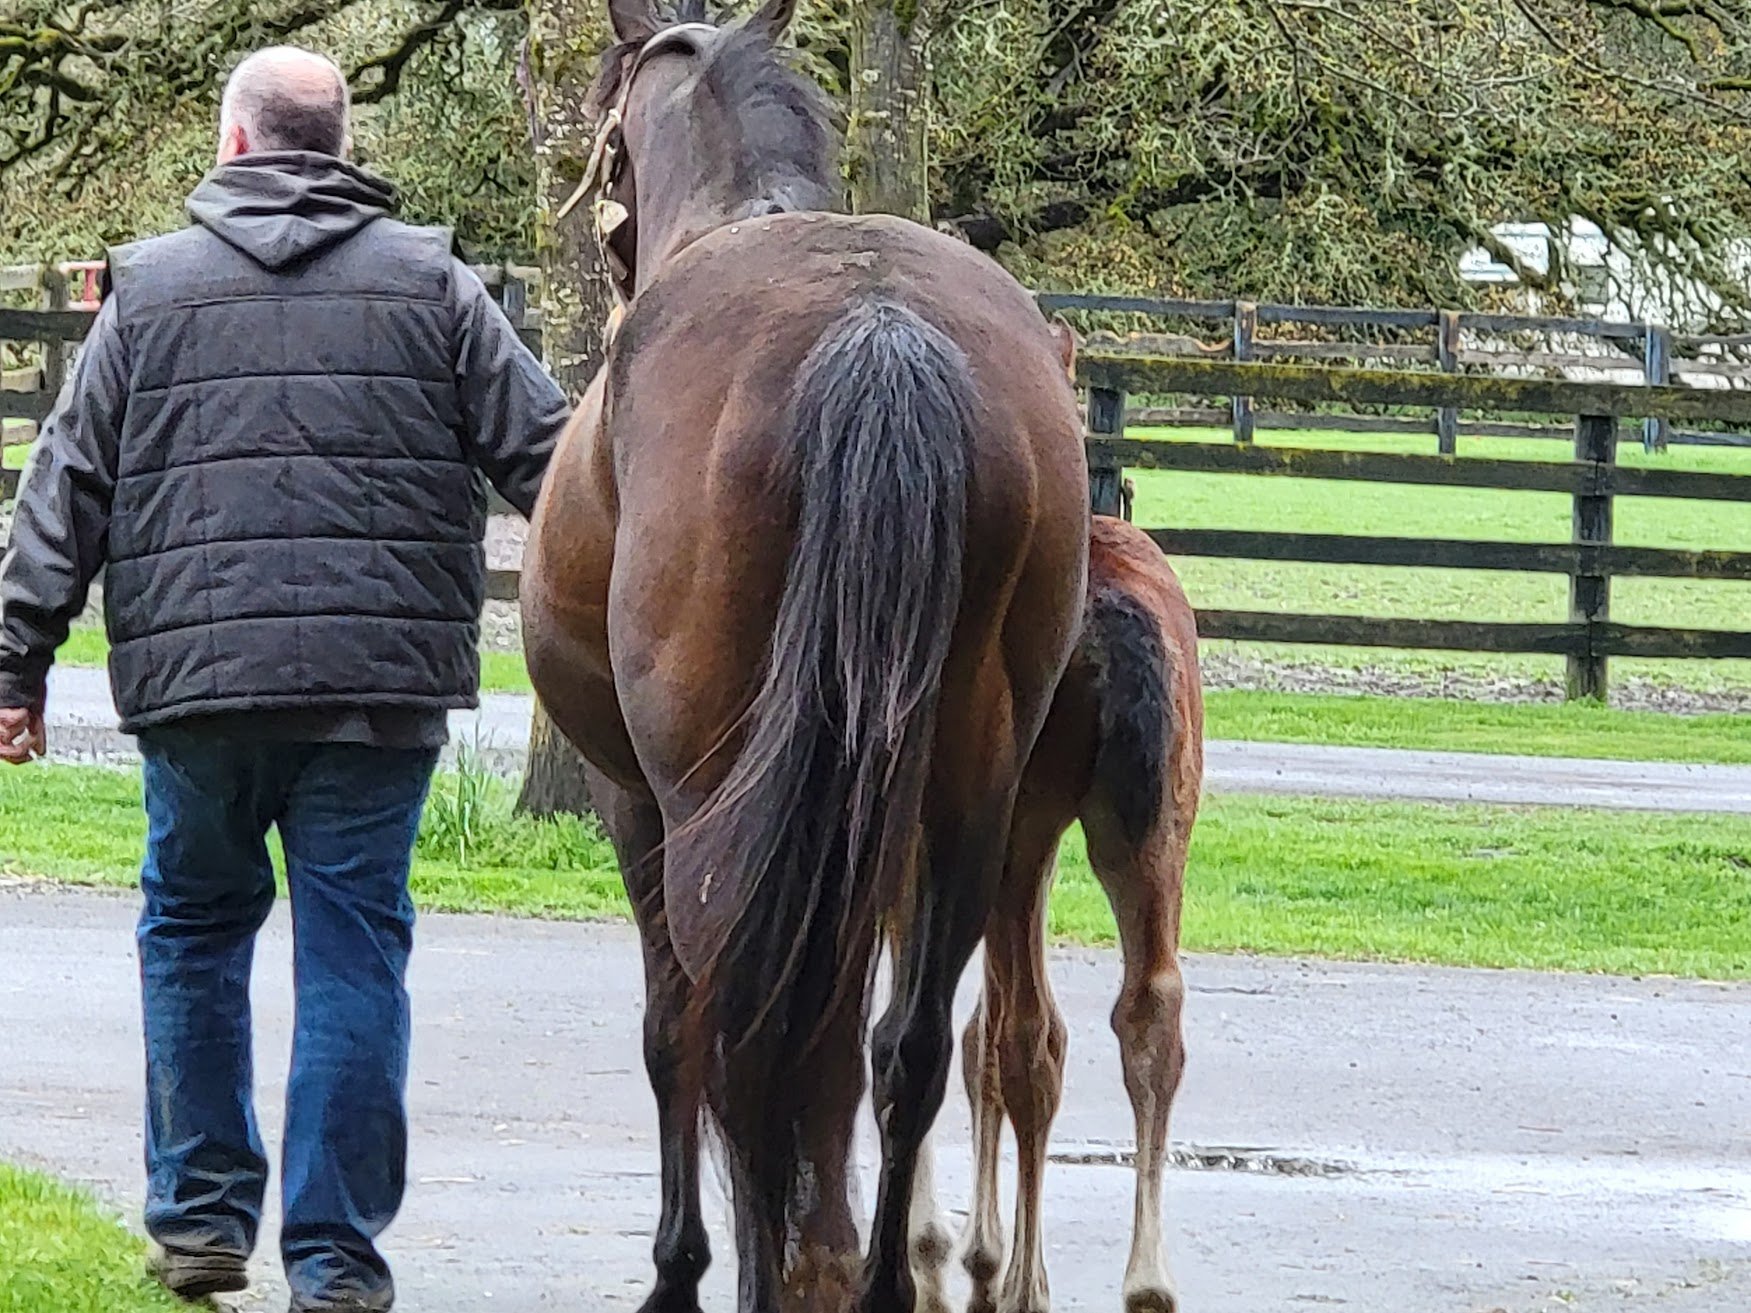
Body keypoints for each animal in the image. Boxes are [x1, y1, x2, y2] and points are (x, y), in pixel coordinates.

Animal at [519, 2, 1090, 1311]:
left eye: (609, 146)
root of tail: (877, 331)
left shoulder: (635, 800)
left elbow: (671, 1032)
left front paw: (688, 1264)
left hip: (714, 799)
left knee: (733, 1028)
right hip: (961, 795)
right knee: (900, 1044)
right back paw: (867, 1277)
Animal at [906, 515, 1204, 1313]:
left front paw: (942, 1251)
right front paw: (971, 1249)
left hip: (1021, 825)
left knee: (1028, 1032)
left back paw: (1022, 1285)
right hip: (1149, 826)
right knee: (1147, 1011)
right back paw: (1146, 1283)